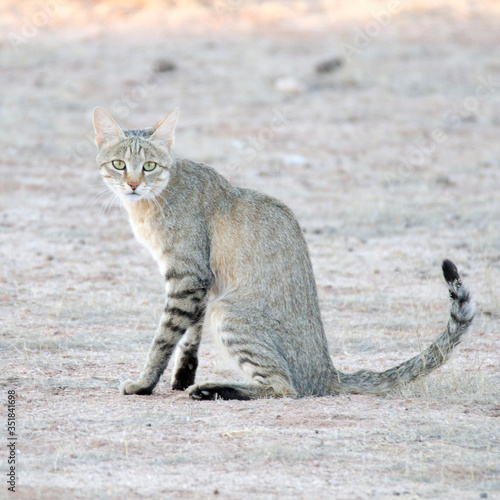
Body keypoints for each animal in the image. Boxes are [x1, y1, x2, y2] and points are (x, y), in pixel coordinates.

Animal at [92, 107, 474, 400]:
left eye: (150, 166)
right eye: (118, 164)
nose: (133, 184)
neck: (151, 201)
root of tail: (327, 371)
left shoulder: (188, 276)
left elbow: (164, 337)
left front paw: (143, 384)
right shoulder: (201, 282)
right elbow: (189, 337)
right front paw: (180, 377)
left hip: (228, 313)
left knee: (284, 388)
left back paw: (213, 389)